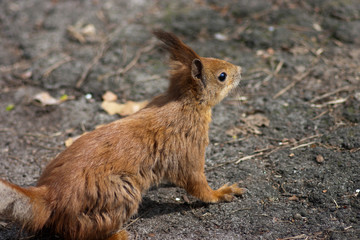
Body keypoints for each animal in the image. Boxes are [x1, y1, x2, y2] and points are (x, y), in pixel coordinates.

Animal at [0, 30, 245, 240]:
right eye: (222, 76)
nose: (240, 69)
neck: (183, 103)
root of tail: (51, 196)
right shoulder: (190, 146)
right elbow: (197, 184)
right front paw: (220, 193)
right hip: (120, 194)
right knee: (78, 232)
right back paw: (117, 235)